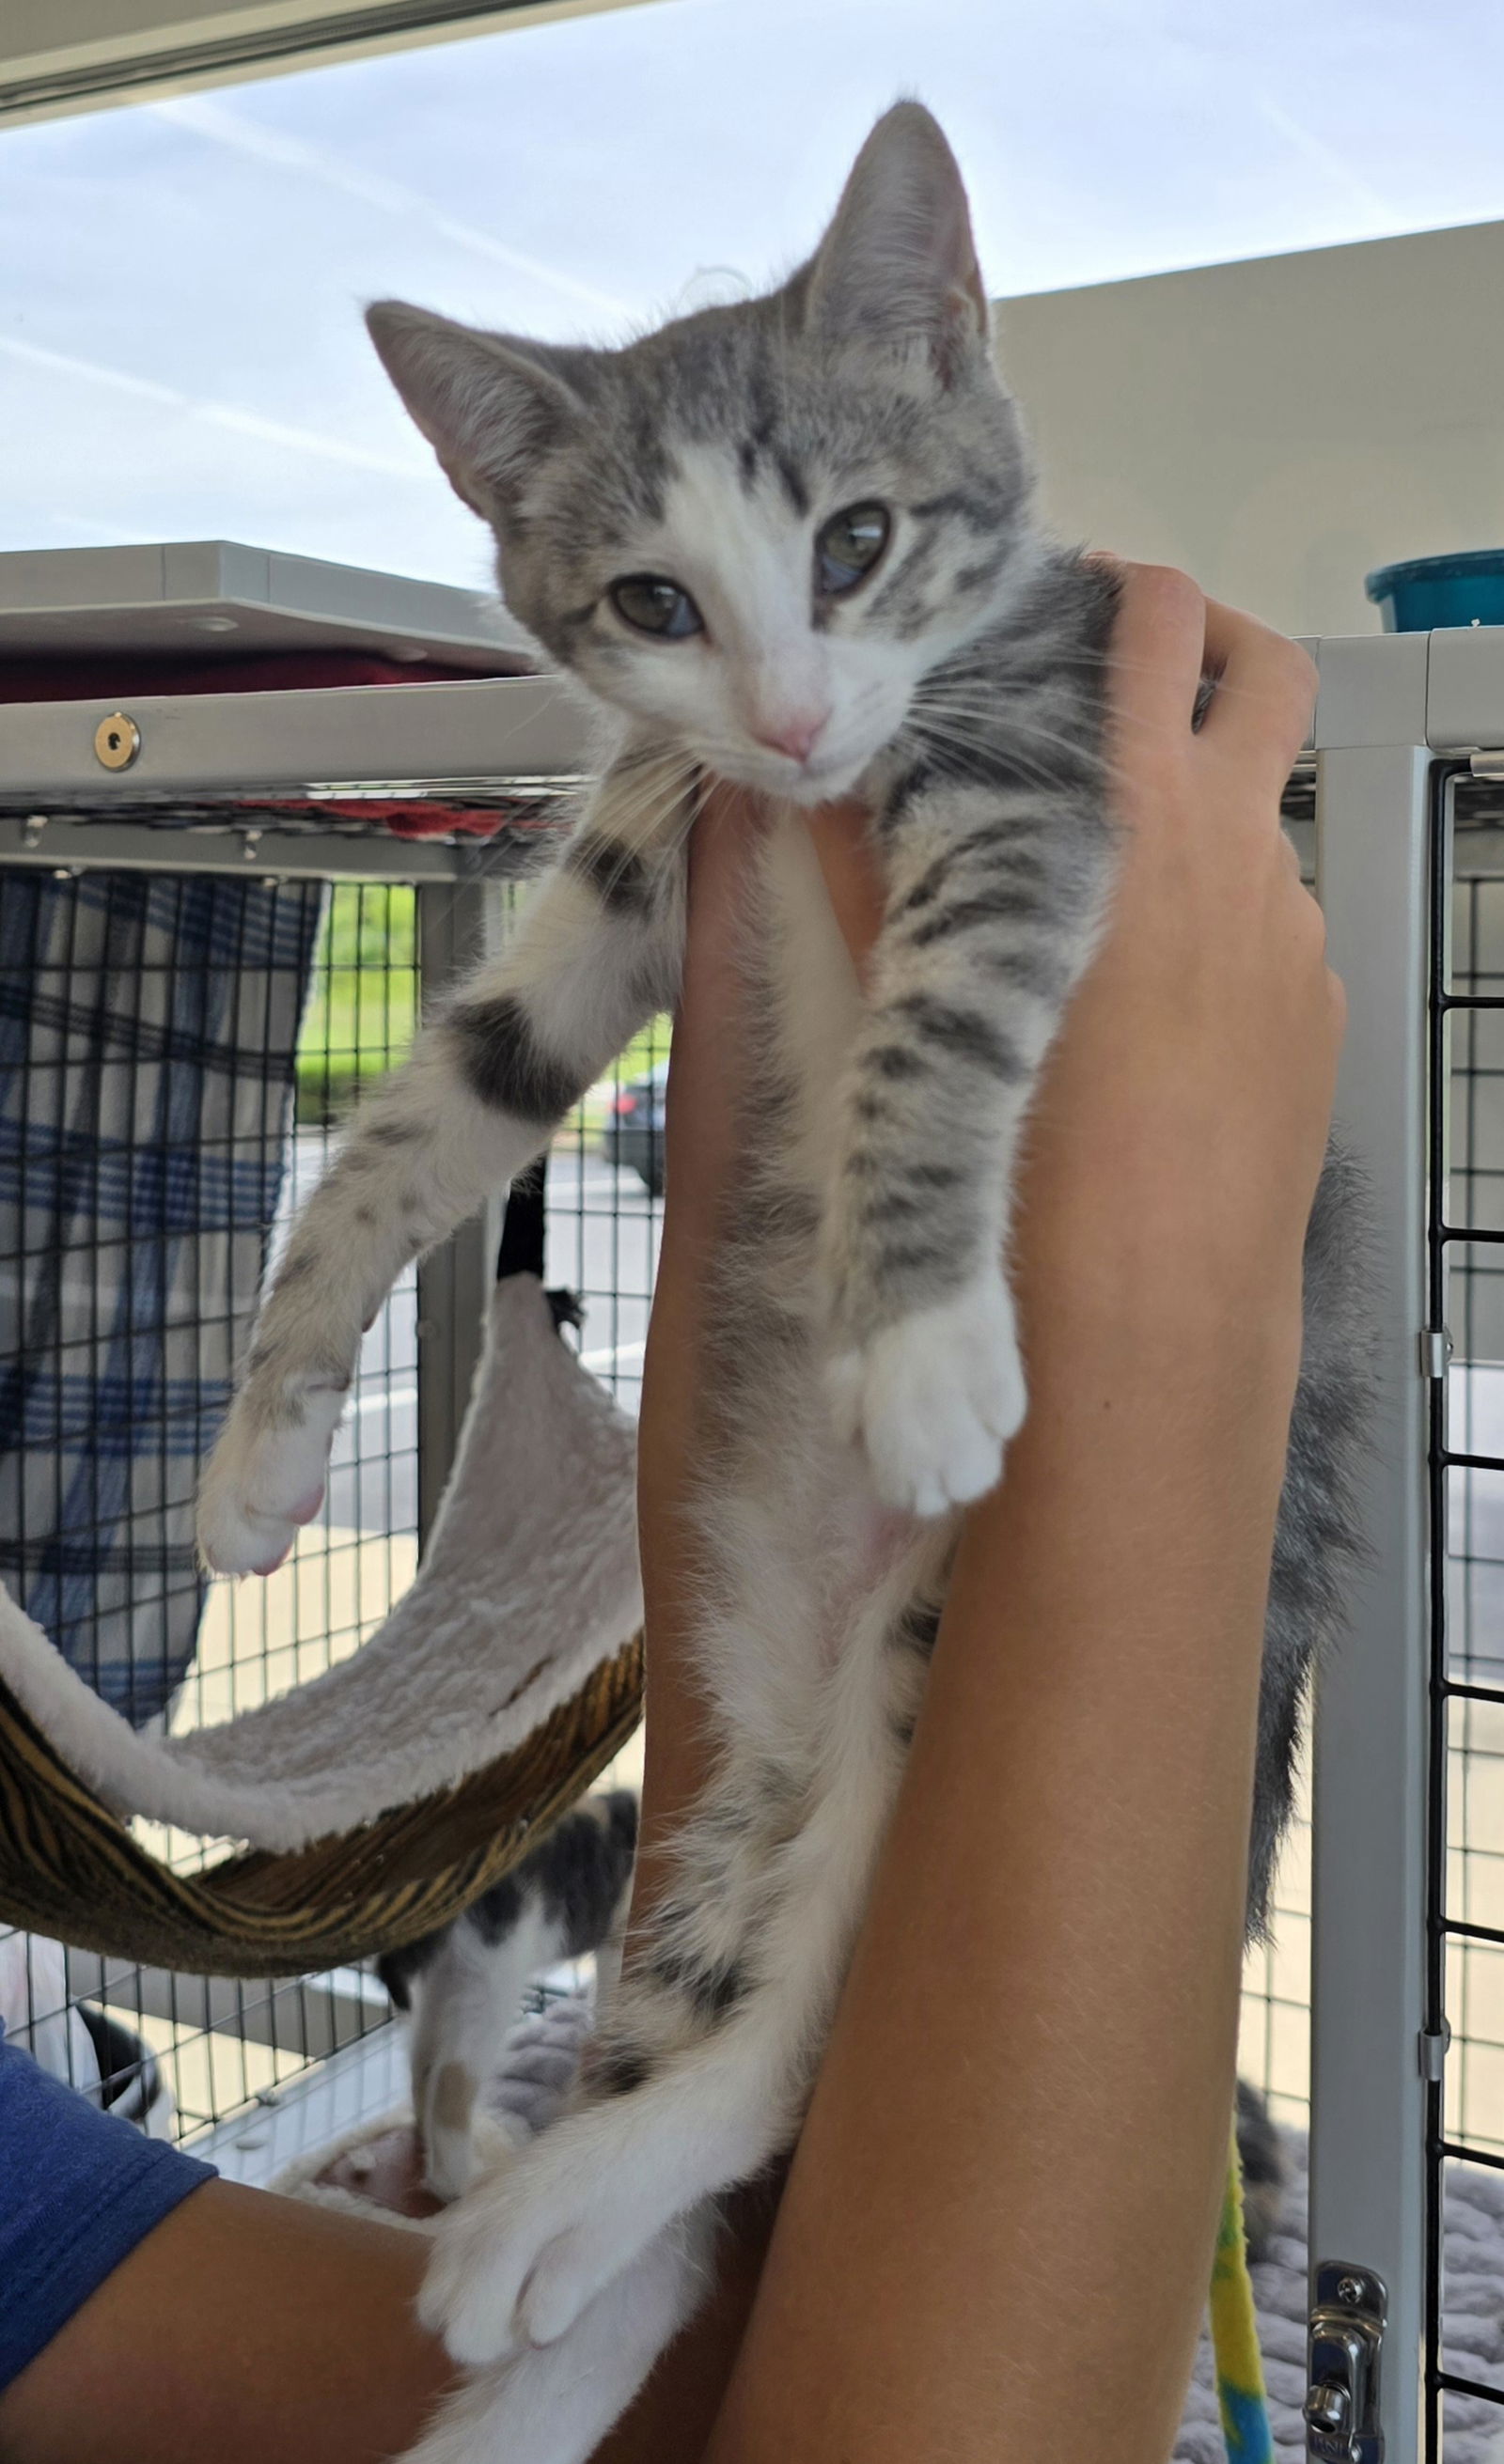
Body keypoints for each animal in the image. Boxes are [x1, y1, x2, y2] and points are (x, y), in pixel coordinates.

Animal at [377, 1784, 635, 2207]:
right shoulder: (621, 1933)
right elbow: (613, 1985)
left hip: (446, 1979)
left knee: (423, 2059)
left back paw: (424, 2142)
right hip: (491, 1976)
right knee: (452, 2081)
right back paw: (455, 2182)